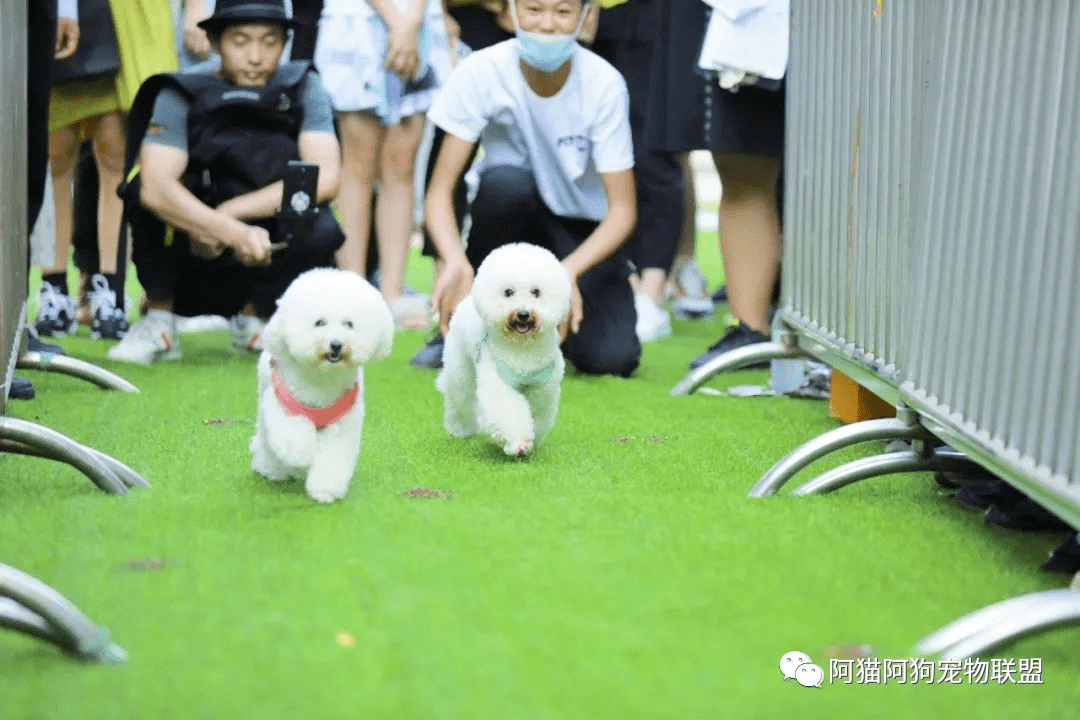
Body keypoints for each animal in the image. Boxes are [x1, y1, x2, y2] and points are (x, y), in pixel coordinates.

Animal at [247, 267, 393, 505]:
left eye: (348, 324)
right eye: (320, 322)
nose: (336, 345)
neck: (322, 379)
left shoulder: (341, 425)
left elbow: (331, 457)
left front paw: (325, 491)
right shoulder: (285, 409)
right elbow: (294, 441)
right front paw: (299, 458)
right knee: (267, 440)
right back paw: (272, 469)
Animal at [436, 241, 574, 455]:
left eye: (536, 292)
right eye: (508, 292)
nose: (523, 314)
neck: (522, 348)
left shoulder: (542, 387)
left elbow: (539, 413)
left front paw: (533, 437)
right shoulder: (497, 379)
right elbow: (507, 409)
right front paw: (518, 443)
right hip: (459, 367)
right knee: (459, 398)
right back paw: (460, 429)